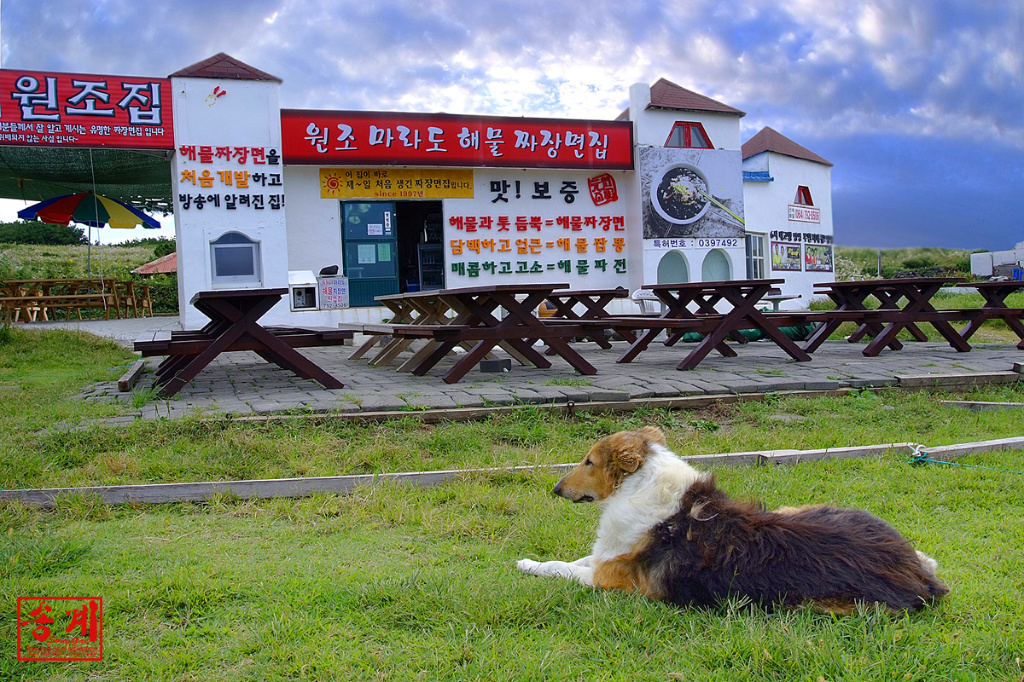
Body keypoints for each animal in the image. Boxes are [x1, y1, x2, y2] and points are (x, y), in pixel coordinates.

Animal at [520, 425, 950, 610]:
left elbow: (563, 567)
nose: (555, 489)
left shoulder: (610, 578)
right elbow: (578, 557)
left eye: (588, 461)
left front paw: (526, 564)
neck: (641, 485)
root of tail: (916, 571)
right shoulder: (607, 557)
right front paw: (529, 562)